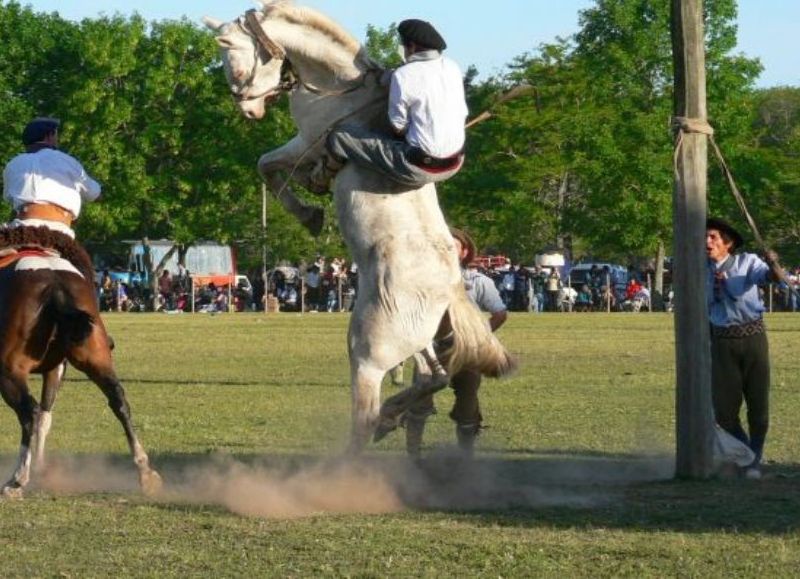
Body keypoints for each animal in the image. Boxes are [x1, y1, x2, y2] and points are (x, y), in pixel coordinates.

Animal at [0, 227, 161, 498]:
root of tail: (56, 285)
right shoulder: (56, 368)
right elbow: (47, 414)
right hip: (96, 358)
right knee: (118, 400)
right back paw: (145, 472)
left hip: (9, 371)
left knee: (29, 411)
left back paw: (17, 479)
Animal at [203, 0, 516, 450]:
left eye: (234, 61)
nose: (248, 109)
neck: (342, 84)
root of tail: (452, 290)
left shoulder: (308, 141)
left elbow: (267, 164)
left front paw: (309, 214)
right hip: (419, 339)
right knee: (433, 377)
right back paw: (393, 415)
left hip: (368, 350)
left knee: (367, 413)